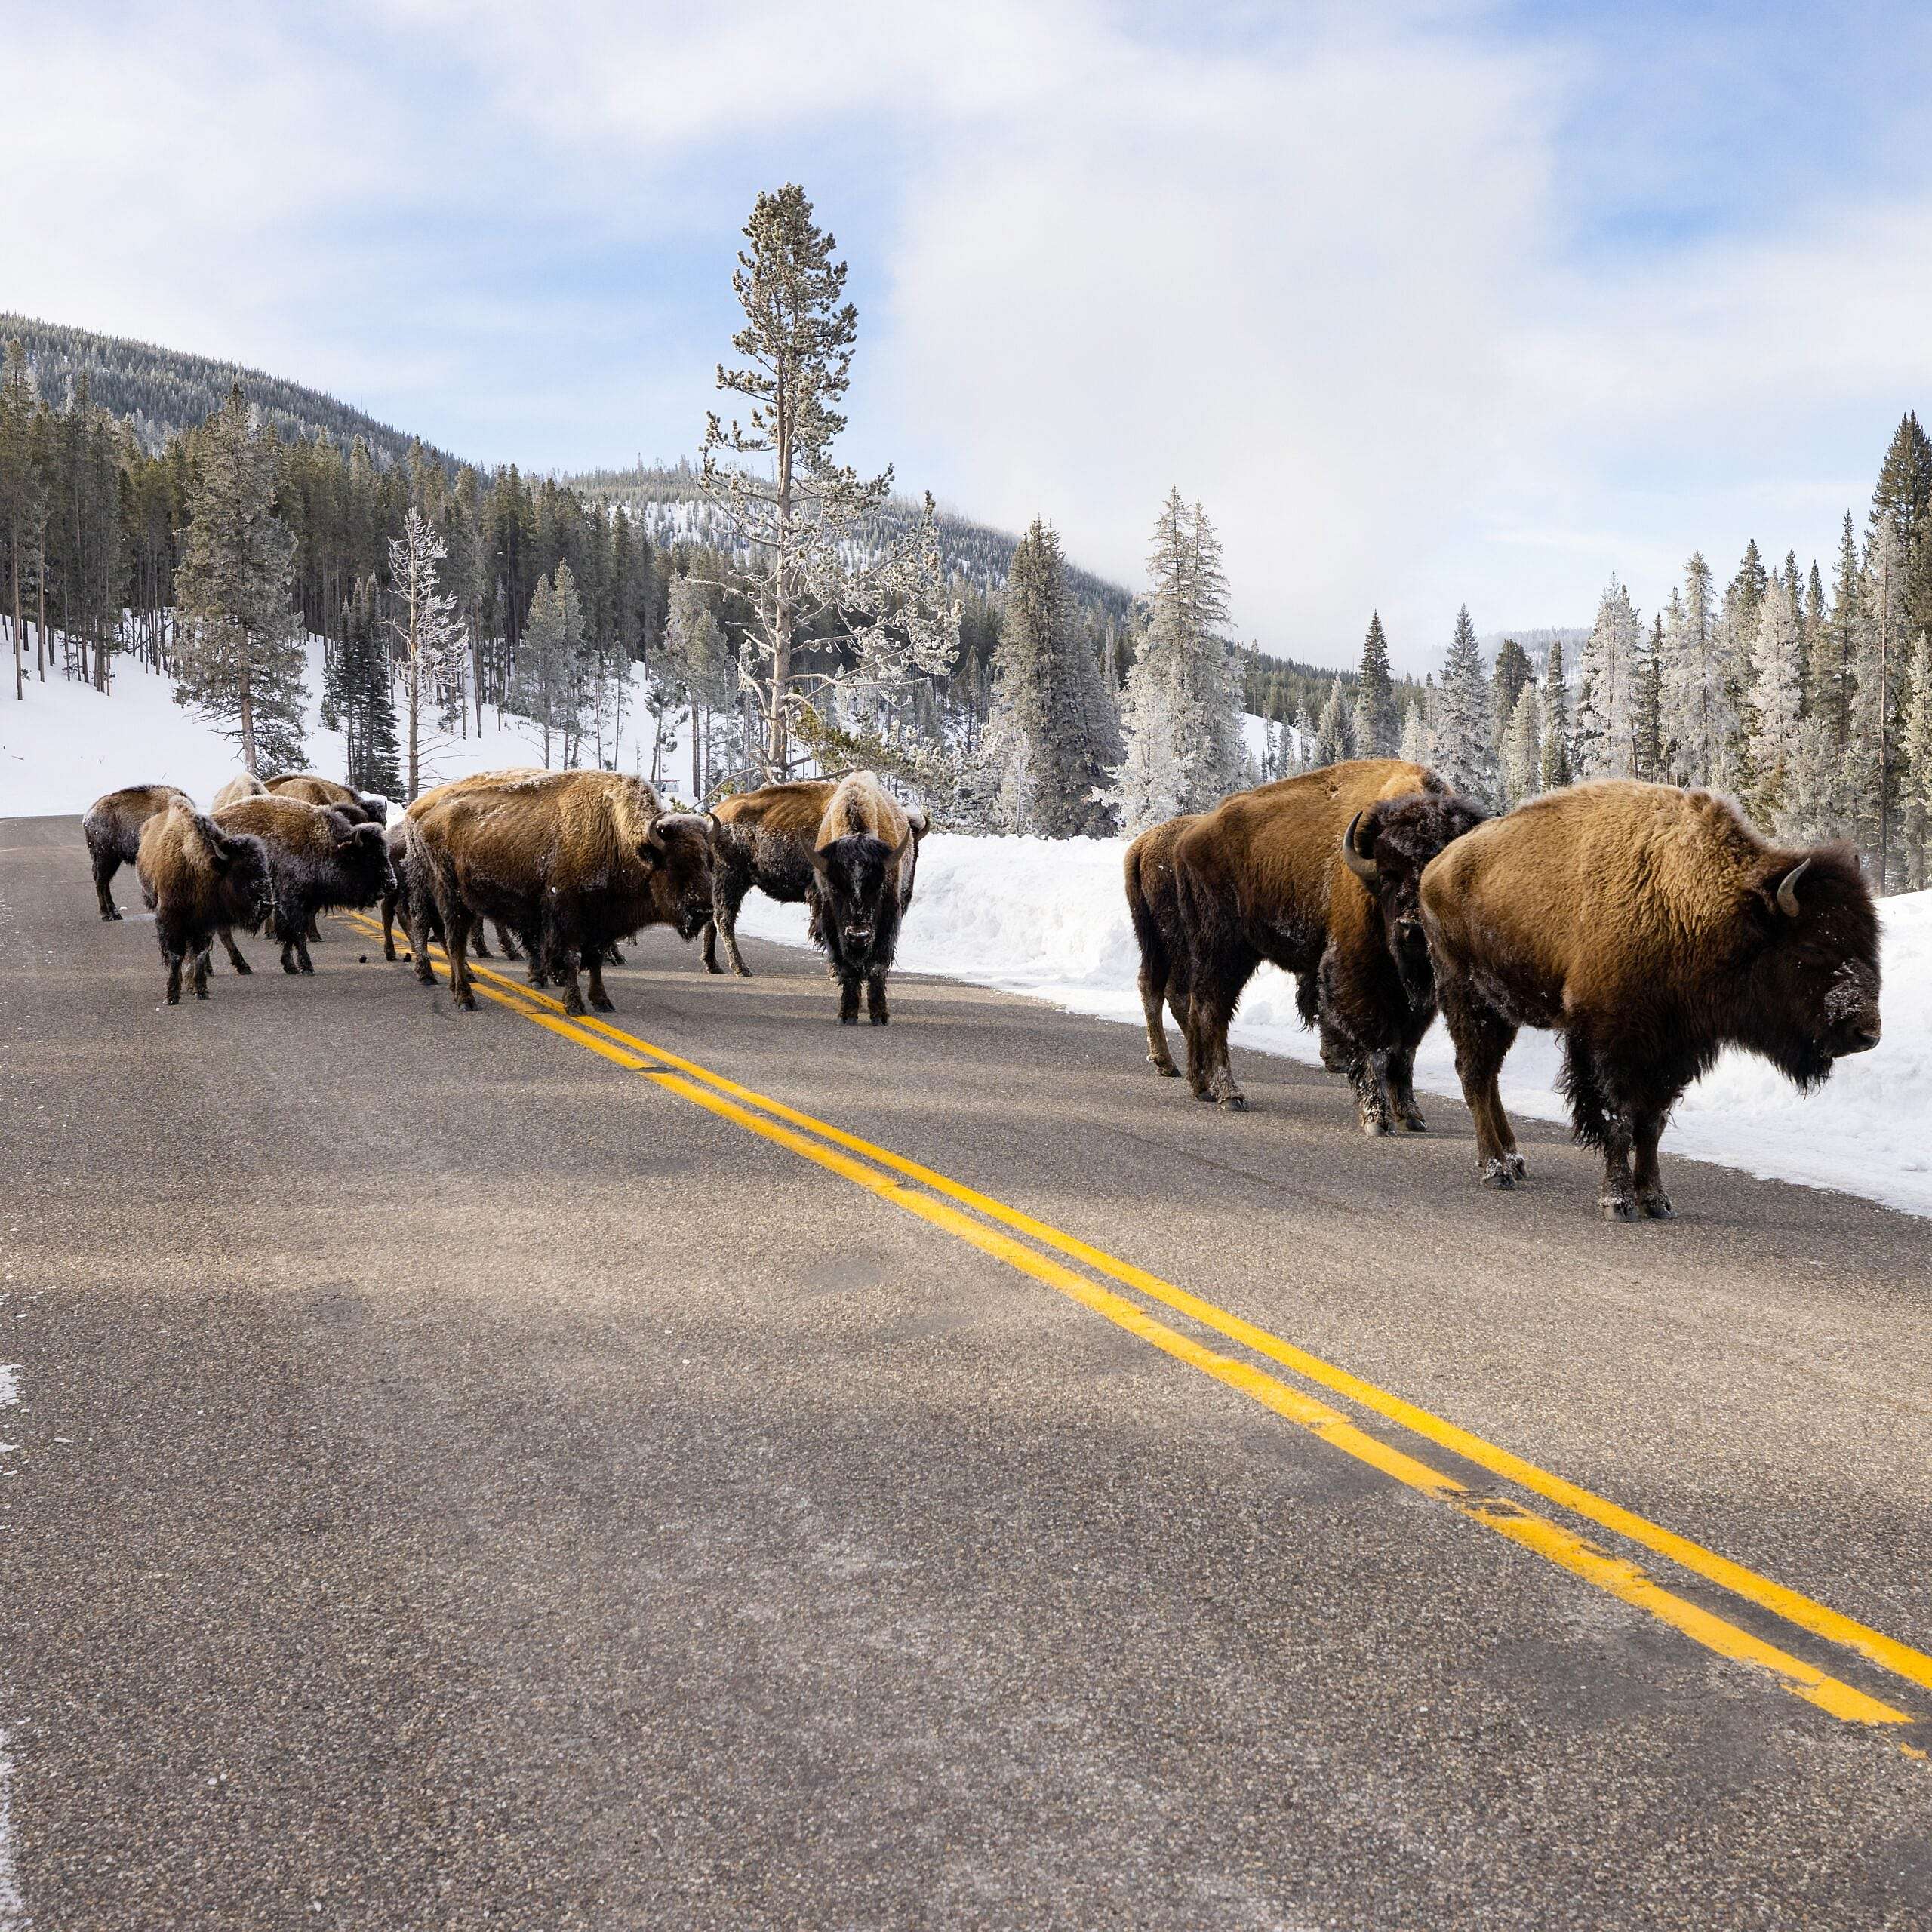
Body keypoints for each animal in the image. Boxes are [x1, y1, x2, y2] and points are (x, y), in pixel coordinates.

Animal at [83, 784, 193, 921]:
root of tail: (88, 816)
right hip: (105, 857)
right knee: (101, 882)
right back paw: (106, 915)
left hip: (113, 860)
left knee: (105, 882)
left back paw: (115, 914)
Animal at [134, 804, 275, 1004]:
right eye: (241, 872)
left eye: (264, 868)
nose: (267, 906)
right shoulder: (172, 919)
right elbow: (176, 954)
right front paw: (172, 995)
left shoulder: (204, 922)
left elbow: (199, 953)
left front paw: (200, 990)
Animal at [404, 769, 714, 1015]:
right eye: (673, 865)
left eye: (707, 862)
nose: (703, 910)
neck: (616, 838)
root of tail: (425, 814)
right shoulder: (567, 919)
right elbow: (572, 959)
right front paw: (574, 1004)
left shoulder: (600, 923)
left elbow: (595, 960)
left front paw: (601, 1001)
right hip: (449, 898)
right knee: (450, 940)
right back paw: (462, 996)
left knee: (448, 938)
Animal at [1167, 760, 1487, 1130]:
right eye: (1388, 876)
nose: (1412, 929)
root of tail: (1189, 837)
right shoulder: (1358, 977)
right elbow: (1374, 1043)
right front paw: (1376, 1117)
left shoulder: (1418, 997)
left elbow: (1405, 1049)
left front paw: (1411, 1115)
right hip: (1225, 951)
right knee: (1213, 1010)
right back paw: (1230, 1094)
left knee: (1197, 1006)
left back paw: (1201, 1086)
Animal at [1419, 779, 1882, 1220]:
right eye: (1811, 948)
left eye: (1871, 942)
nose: (1867, 1033)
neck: (1691, 907)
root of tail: (1434, 870)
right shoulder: (1609, 1047)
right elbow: (1618, 1120)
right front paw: (1617, 1202)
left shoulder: (1673, 1050)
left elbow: (1651, 1124)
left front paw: (1656, 1200)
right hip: (1469, 998)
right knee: (1475, 1074)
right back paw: (1495, 1169)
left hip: (1503, 1009)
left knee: (1490, 1076)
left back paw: (1514, 1160)